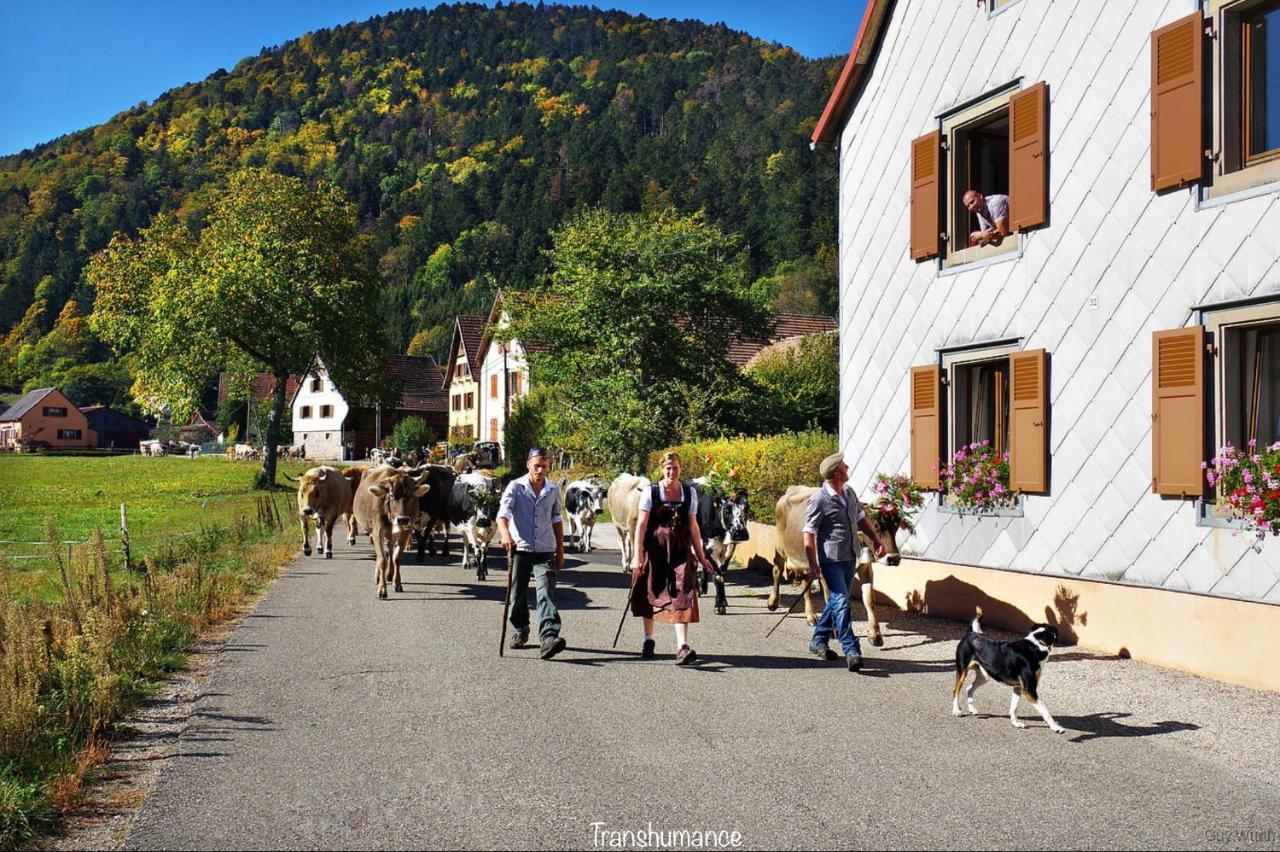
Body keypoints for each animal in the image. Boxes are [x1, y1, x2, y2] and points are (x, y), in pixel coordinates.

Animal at [691, 481, 747, 614]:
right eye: (727, 510)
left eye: (746, 509)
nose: (740, 533)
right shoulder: (707, 547)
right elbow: (717, 575)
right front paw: (719, 606)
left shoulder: (730, 548)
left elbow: (723, 573)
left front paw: (723, 601)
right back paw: (697, 589)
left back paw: (703, 586)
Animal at [957, 603, 1064, 731]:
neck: (1035, 645)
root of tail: (972, 633)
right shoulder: (1029, 690)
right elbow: (1045, 710)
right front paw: (1056, 727)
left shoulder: (1018, 687)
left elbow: (1014, 708)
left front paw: (1015, 723)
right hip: (962, 671)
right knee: (955, 691)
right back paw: (956, 710)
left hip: (984, 676)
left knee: (969, 688)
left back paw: (972, 709)